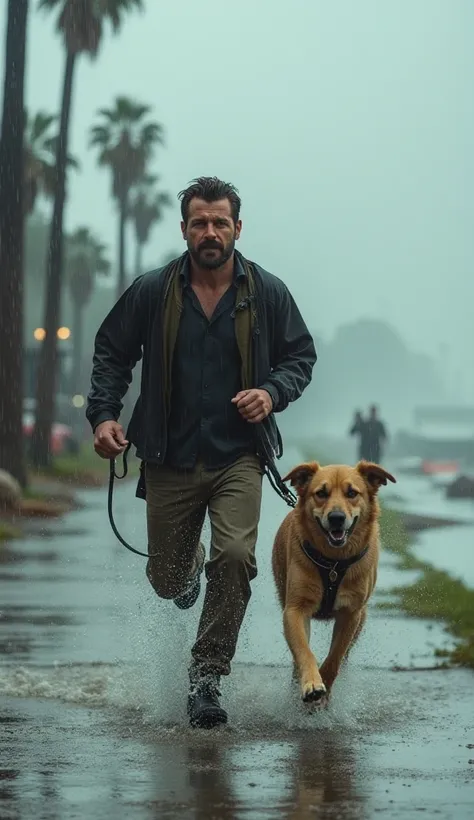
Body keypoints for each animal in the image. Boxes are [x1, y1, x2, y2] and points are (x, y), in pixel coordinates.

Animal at [272, 462, 394, 704]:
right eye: (321, 493)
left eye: (352, 493)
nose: (336, 517)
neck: (334, 564)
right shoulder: (295, 610)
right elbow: (304, 651)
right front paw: (311, 683)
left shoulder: (351, 614)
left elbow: (335, 658)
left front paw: (324, 690)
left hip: (361, 619)